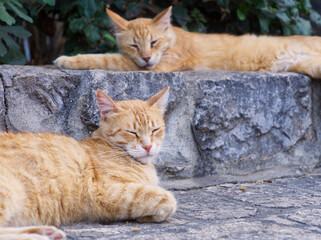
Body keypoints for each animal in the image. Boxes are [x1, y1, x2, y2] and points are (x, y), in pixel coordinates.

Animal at [0, 87, 175, 239]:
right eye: (131, 133)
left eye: (155, 130)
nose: (148, 146)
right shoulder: (106, 191)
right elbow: (167, 199)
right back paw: (38, 237)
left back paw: (46, 232)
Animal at [55, 6, 321, 78]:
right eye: (134, 45)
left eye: (153, 42)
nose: (146, 57)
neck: (173, 40)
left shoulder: (158, 66)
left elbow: (105, 58)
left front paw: (67, 60)